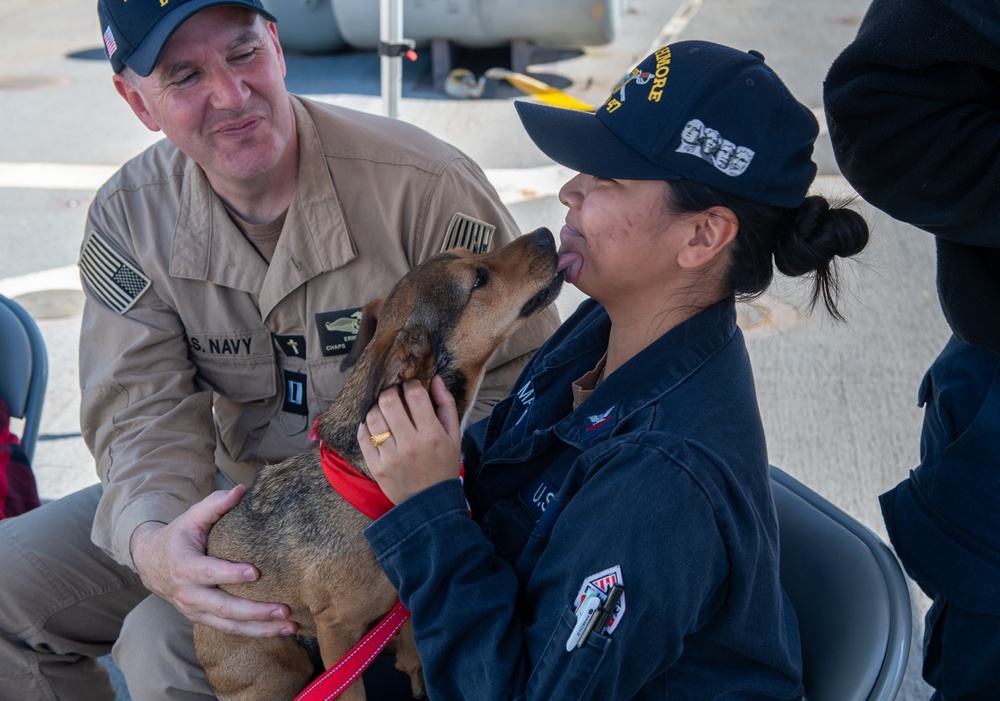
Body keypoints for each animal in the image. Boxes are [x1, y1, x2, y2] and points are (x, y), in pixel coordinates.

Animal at [189, 230, 564, 700]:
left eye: (469, 253)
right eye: (478, 279)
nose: (547, 234)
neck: (371, 480)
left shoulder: (402, 614)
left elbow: (416, 656)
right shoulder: (339, 637)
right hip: (278, 667)